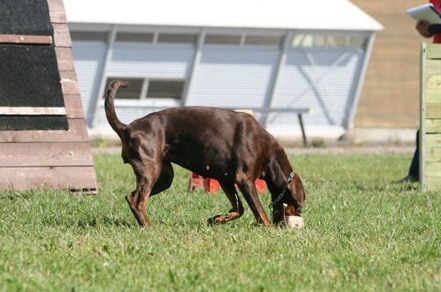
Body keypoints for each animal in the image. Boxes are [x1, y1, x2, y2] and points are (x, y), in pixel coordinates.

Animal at [105, 80, 304, 228]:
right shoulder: (244, 179)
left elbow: (239, 208)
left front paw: (218, 219)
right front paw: (269, 227)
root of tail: (127, 128)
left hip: (164, 176)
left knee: (131, 196)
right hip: (151, 170)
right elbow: (258, 210)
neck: (269, 155)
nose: (296, 220)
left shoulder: (225, 180)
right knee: (137, 200)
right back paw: (148, 226)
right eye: (299, 206)